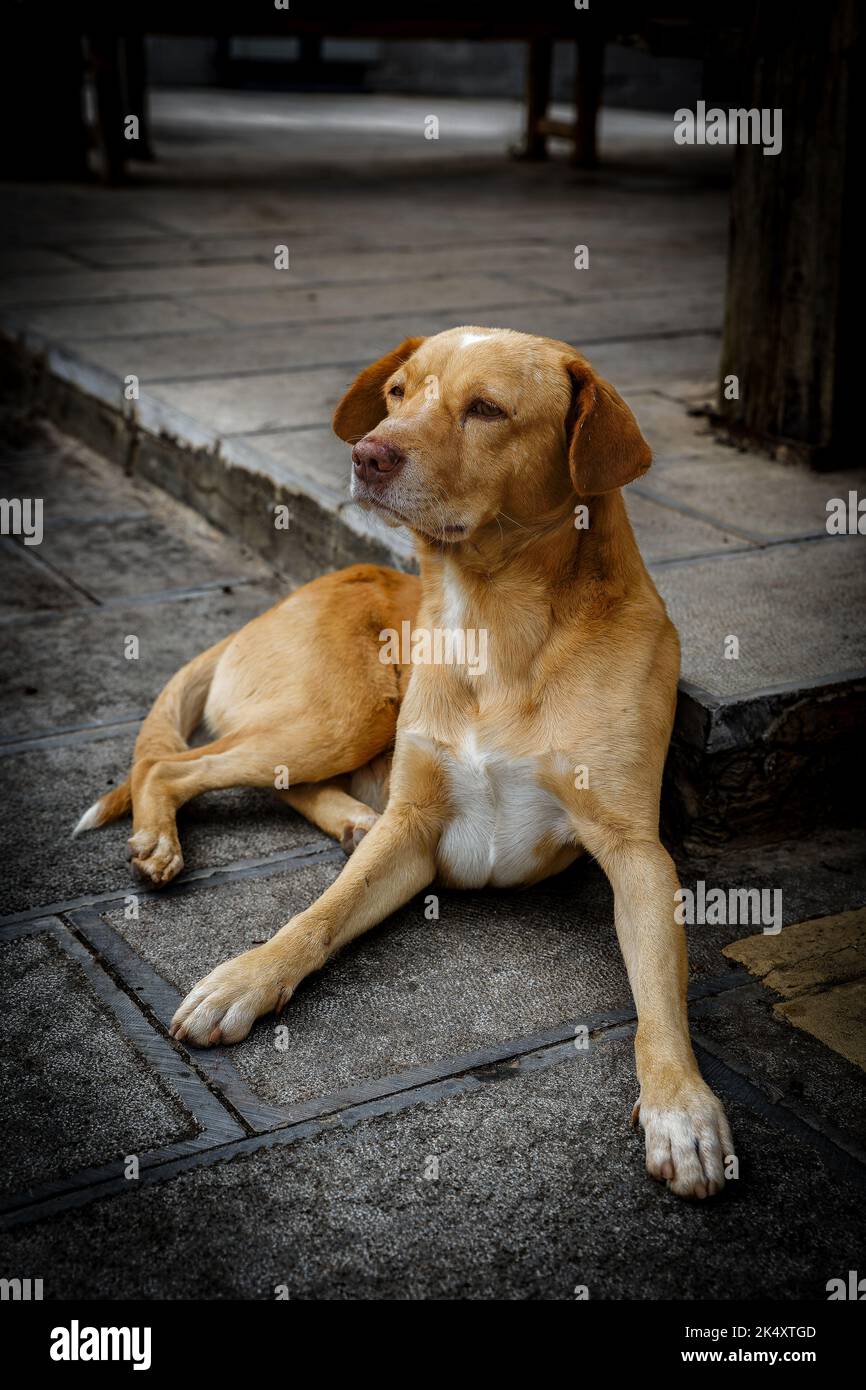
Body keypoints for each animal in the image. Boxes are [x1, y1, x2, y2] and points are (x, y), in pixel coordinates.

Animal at [77, 325, 733, 1195]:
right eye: (396, 393)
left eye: (486, 408)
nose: (367, 454)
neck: (494, 622)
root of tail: (273, 605)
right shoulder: (416, 824)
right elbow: (317, 915)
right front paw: (246, 976)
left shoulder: (637, 853)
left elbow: (661, 1001)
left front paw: (681, 1108)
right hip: (345, 714)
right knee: (171, 767)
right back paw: (171, 837)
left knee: (243, 777)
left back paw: (345, 819)